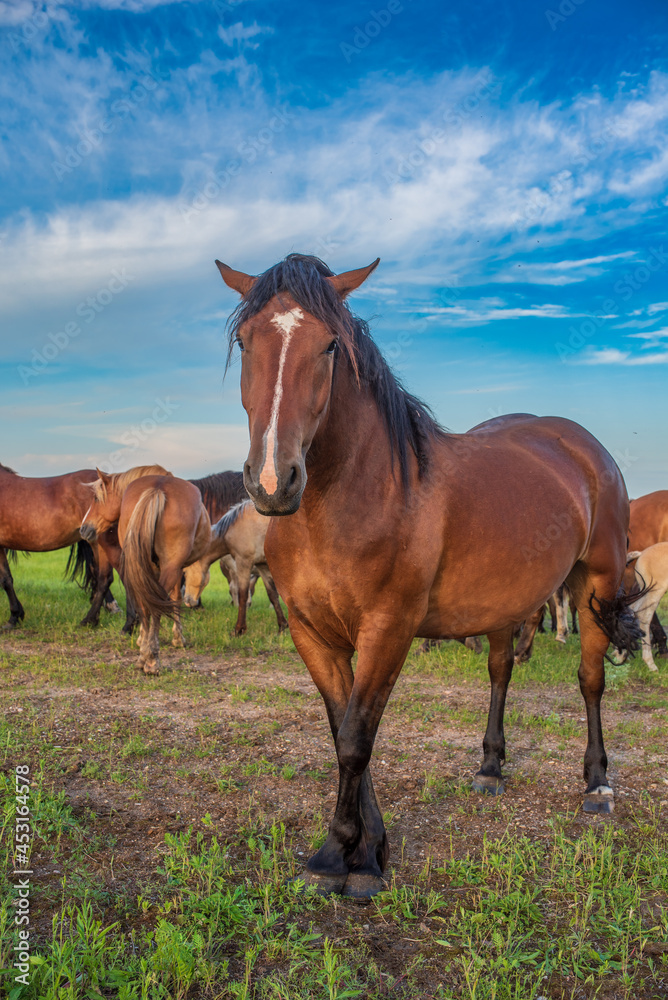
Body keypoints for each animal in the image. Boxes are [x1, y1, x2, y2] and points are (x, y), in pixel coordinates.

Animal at [0, 460, 117, 624]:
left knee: (104, 578)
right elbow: (6, 579)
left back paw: (89, 620)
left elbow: (5, 580)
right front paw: (17, 615)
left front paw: (14, 616)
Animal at [82, 466, 210, 672]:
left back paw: (144, 655)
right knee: (155, 605)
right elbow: (175, 598)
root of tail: (157, 488)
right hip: (170, 568)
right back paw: (151, 659)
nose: (83, 529)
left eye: (96, 499)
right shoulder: (176, 570)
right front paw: (177, 638)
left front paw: (142, 639)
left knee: (144, 603)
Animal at [183, 500, 288, 632]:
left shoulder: (243, 563)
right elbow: (273, 595)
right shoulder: (262, 566)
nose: (187, 601)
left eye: (185, 572)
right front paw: (282, 626)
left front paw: (239, 629)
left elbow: (242, 595)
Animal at [218, 250, 640, 900]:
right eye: (245, 342)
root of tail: (581, 444)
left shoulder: (388, 629)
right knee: (499, 671)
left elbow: (357, 737)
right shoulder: (313, 634)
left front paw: (352, 858)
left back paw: (597, 783)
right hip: (506, 601)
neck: (343, 502)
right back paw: (490, 766)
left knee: (591, 681)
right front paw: (356, 849)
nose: (271, 482)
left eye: (330, 345)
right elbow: (342, 729)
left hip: (597, 582)